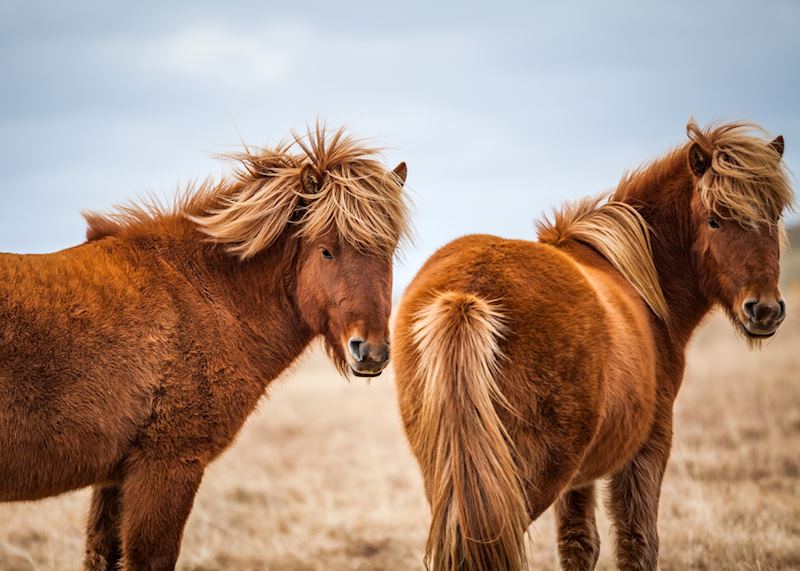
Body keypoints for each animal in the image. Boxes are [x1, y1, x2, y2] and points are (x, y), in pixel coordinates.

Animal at [0, 126, 408, 571]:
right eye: (327, 250)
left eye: (388, 252)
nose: (370, 351)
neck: (202, 293)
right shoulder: (167, 467)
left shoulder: (115, 477)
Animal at [392, 119, 792, 571]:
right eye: (714, 220)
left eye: (775, 216)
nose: (764, 309)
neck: (638, 279)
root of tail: (467, 295)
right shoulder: (647, 449)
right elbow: (638, 542)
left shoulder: (578, 478)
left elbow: (579, 542)